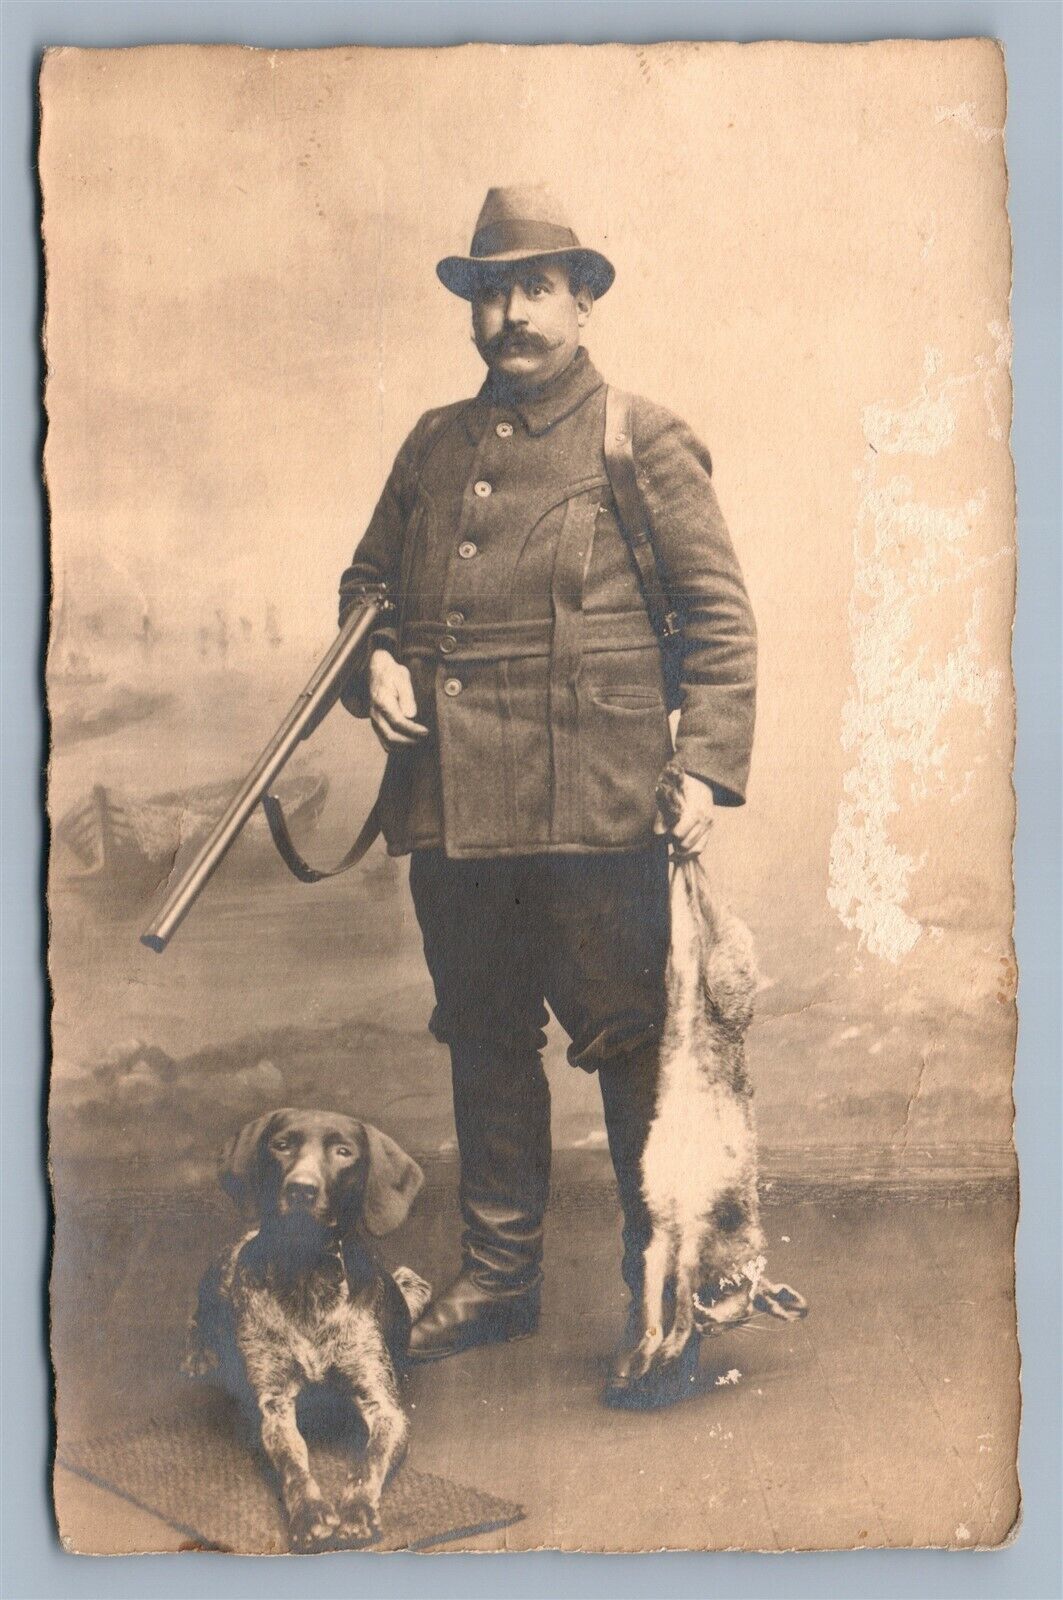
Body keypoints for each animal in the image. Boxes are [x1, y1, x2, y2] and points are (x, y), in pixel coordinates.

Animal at [181, 1107, 429, 1542]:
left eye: (343, 1152)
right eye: (281, 1145)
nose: (301, 1189)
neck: (307, 1272)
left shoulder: (384, 1405)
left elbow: (368, 1463)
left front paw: (358, 1508)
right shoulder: (273, 1404)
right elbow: (293, 1464)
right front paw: (310, 1511)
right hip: (221, 1276)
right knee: (199, 1316)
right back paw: (199, 1354)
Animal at [611, 768, 810, 1395]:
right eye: (742, 1307)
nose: (718, 1324)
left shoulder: (665, 1239)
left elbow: (656, 1296)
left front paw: (646, 1355)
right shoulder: (693, 1235)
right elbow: (673, 1299)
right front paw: (672, 1345)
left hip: (681, 972)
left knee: (686, 912)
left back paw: (673, 806)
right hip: (726, 975)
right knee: (705, 906)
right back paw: (679, 815)